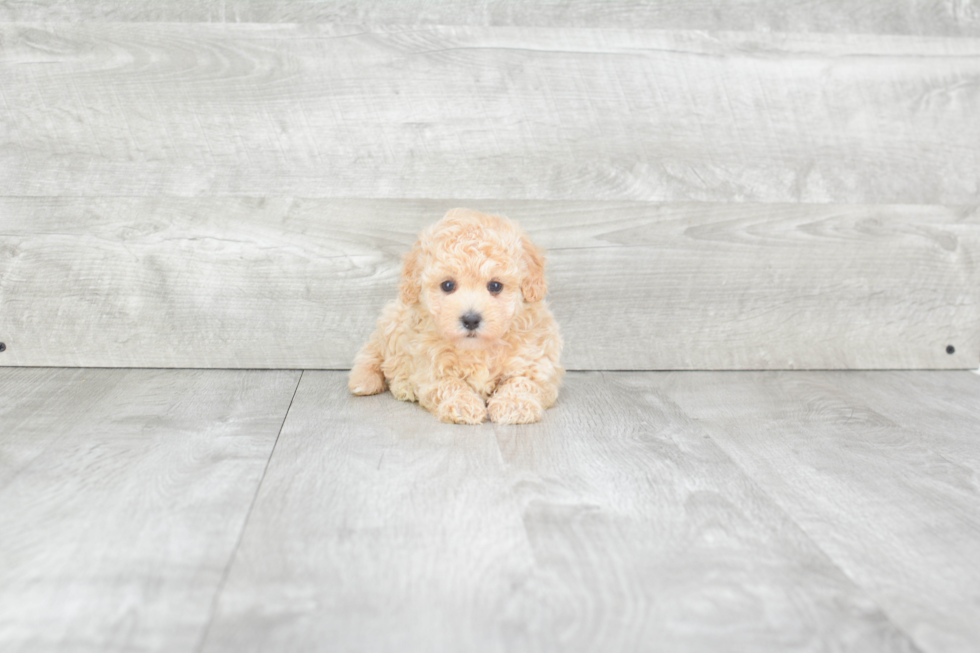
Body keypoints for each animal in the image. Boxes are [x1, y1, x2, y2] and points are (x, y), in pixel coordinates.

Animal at [352, 208, 568, 422]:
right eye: (448, 285)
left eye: (495, 286)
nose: (471, 320)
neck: (477, 349)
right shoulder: (430, 369)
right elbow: (449, 384)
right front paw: (462, 405)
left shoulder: (537, 363)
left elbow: (523, 381)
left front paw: (515, 405)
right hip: (392, 321)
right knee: (373, 351)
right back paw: (369, 381)